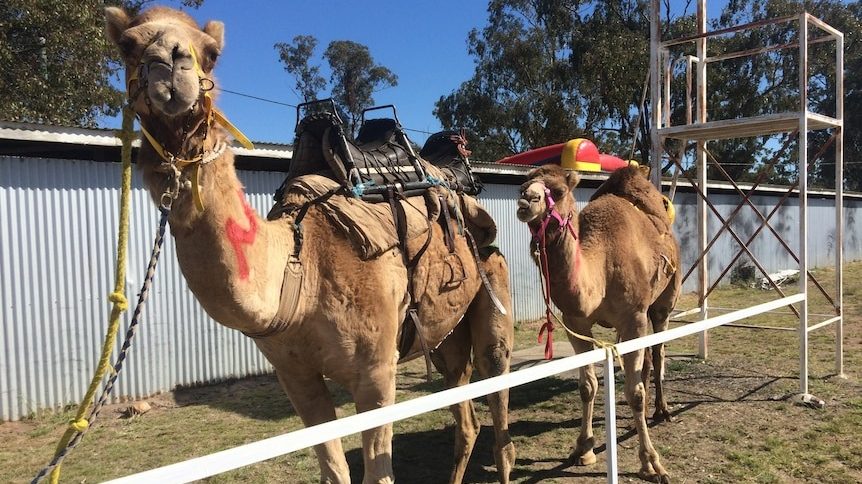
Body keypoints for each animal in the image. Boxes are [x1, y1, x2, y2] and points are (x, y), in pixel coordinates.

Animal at [104, 6, 515, 483]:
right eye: (127, 45)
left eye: (210, 53)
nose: (169, 66)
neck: (299, 267)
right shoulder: (295, 377)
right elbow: (334, 470)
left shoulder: (377, 372)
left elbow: (378, 473)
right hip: (445, 333)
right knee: (465, 416)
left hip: (492, 290)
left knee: (498, 398)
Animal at [516, 164, 680, 483]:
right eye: (523, 186)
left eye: (558, 191)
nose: (526, 200)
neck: (601, 266)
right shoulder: (576, 322)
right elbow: (588, 386)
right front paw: (583, 448)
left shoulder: (634, 317)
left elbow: (634, 393)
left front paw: (651, 464)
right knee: (644, 363)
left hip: (663, 300)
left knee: (658, 351)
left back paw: (662, 411)